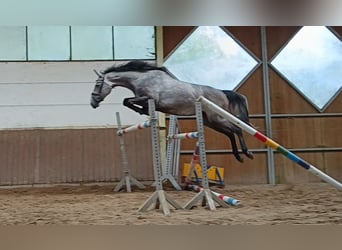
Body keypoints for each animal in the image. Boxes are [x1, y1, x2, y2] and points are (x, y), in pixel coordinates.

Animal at [91, 60, 254, 162]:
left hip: (217, 118)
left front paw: (143, 111)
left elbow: (127, 100)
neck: (140, 79)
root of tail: (222, 92)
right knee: (230, 133)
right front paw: (143, 111)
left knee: (237, 129)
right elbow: (127, 101)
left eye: (98, 85)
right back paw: (238, 156)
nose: (93, 103)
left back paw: (247, 153)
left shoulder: (149, 98)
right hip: (211, 122)